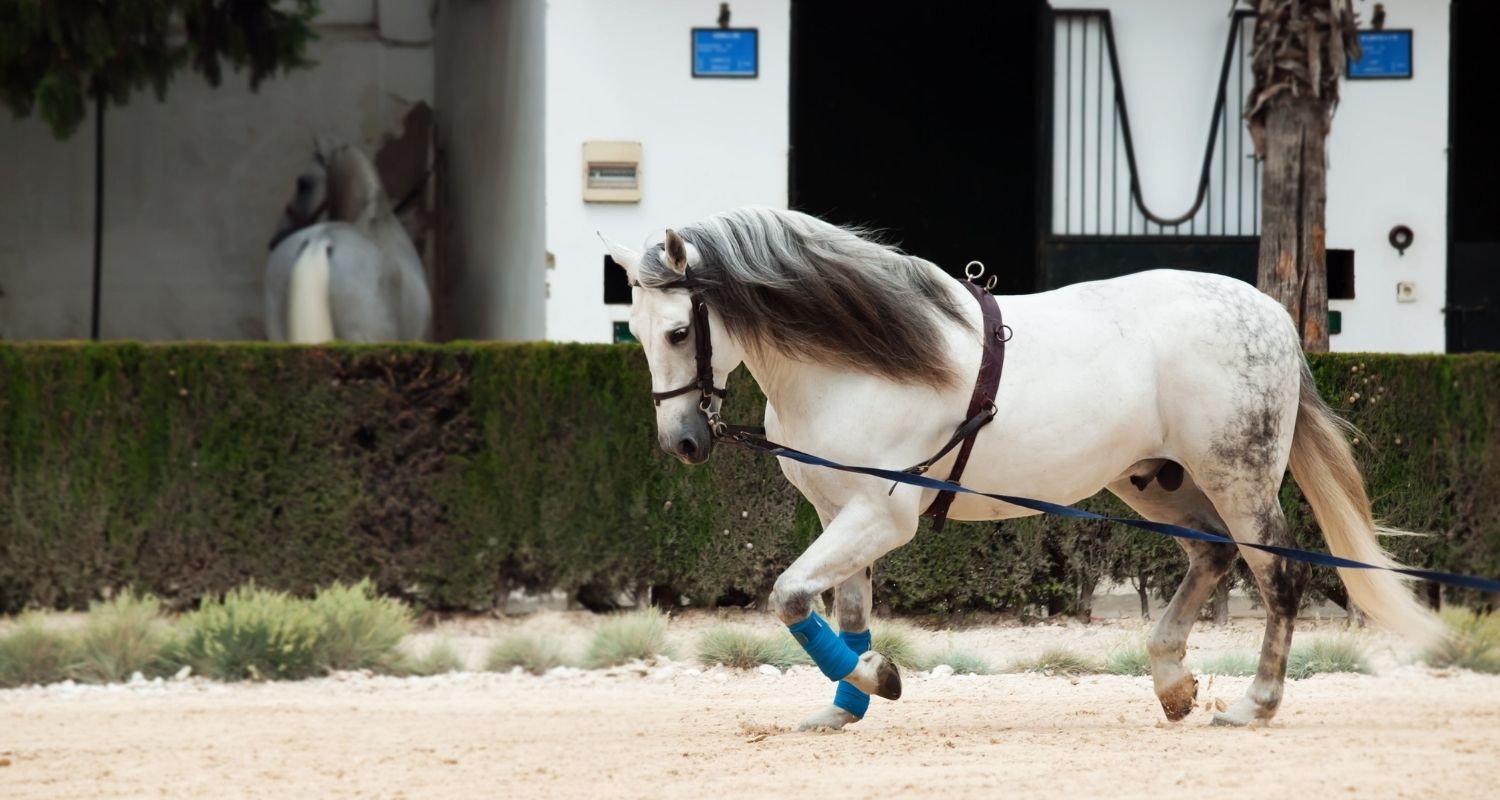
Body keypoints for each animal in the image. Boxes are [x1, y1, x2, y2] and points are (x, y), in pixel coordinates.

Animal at [609, 205, 1440, 729]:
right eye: (635, 331)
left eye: (680, 331)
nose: (683, 442)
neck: (854, 363)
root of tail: (1269, 314)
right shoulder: (840, 515)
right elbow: (841, 612)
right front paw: (845, 706)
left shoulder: (881, 515)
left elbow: (787, 597)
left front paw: (879, 677)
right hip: (1152, 480)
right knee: (1211, 556)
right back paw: (1172, 683)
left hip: (1238, 474)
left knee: (1281, 572)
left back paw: (1255, 704)